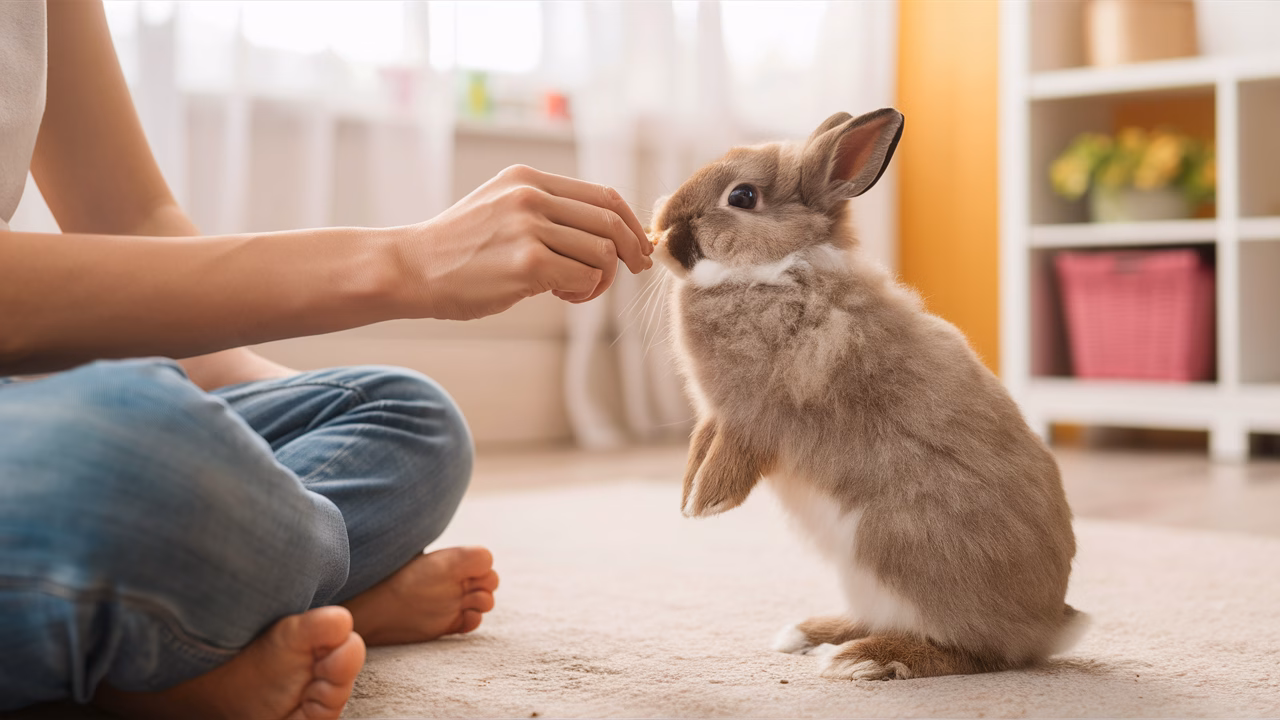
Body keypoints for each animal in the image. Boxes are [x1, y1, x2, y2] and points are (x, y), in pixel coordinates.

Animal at [649, 108, 1087, 681]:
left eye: (742, 197)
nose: (663, 233)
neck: (777, 269)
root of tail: (1048, 628)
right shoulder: (715, 415)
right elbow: (701, 445)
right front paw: (687, 495)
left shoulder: (755, 416)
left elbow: (731, 456)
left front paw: (705, 504)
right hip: (861, 575)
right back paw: (810, 635)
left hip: (894, 547)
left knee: (970, 653)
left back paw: (865, 659)